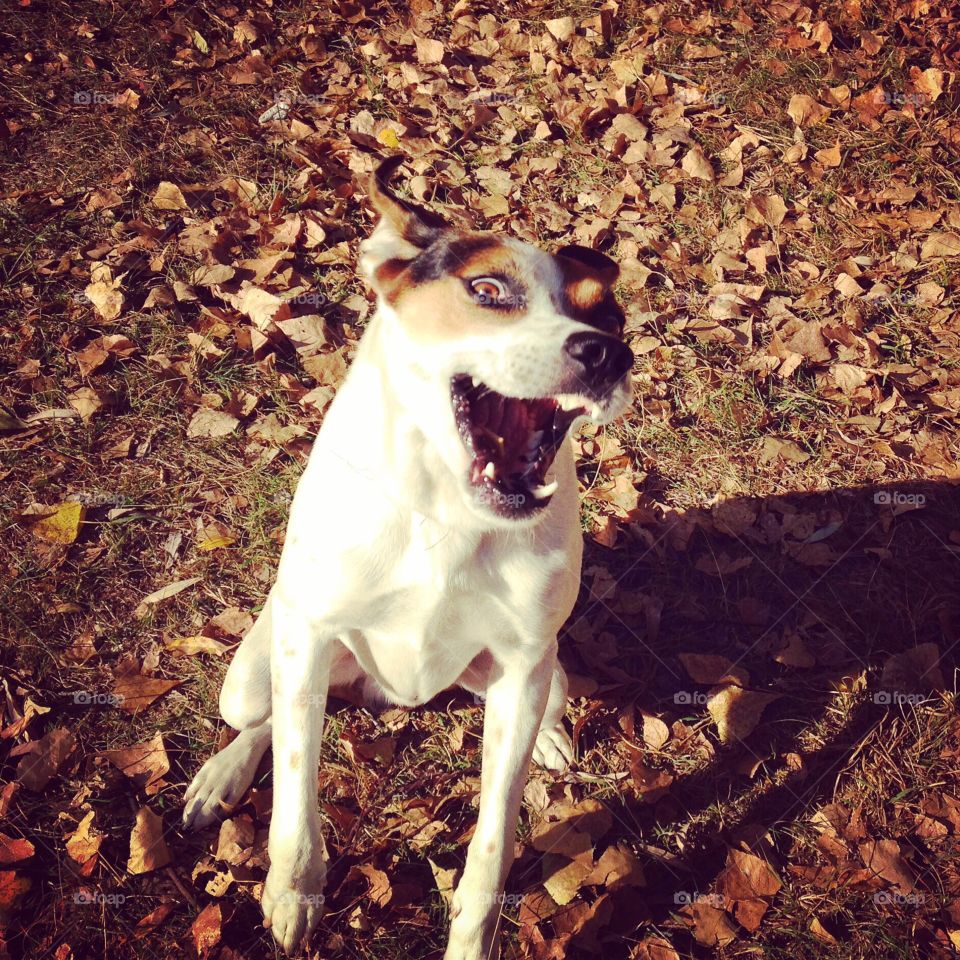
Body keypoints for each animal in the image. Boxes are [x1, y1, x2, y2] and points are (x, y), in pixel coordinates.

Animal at [183, 154, 632, 956]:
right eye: (487, 289)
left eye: (608, 316)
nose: (610, 351)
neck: (446, 510)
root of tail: (385, 696)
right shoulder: (308, 634)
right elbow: (295, 792)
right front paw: (293, 894)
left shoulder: (523, 662)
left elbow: (493, 843)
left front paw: (471, 938)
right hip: (252, 672)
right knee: (266, 721)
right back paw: (219, 778)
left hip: (541, 676)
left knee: (544, 707)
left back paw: (552, 739)